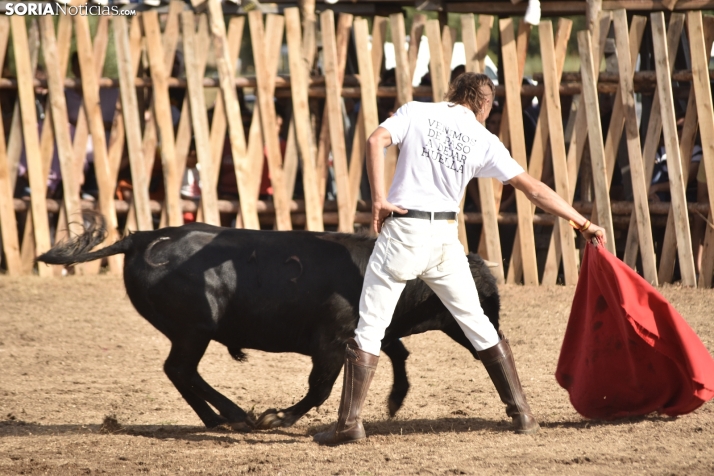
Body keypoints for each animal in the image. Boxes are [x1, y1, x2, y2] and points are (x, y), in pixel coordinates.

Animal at [36, 216, 498, 432]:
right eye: (483, 297)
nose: (493, 331)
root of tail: (144, 237)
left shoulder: (366, 334)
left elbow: (397, 352)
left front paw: (395, 400)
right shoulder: (331, 342)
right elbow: (320, 388)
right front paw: (277, 418)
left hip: (192, 333)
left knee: (181, 372)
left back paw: (219, 418)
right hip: (194, 331)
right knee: (181, 370)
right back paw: (234, 414)